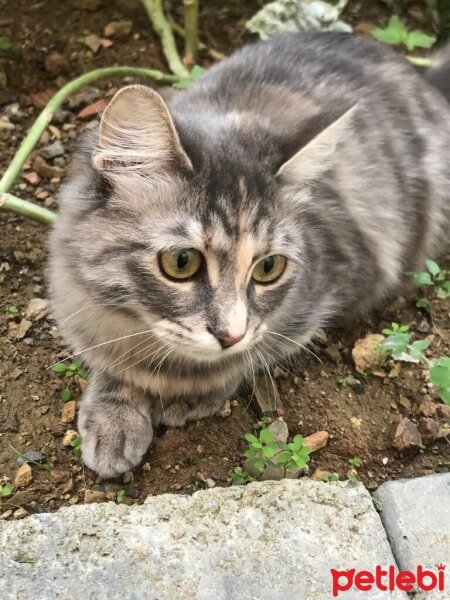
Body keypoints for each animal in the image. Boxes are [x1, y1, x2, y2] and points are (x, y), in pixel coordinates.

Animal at [49, 32, 450, 478]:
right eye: (182, 262)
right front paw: (115, 415)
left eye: (268, 268)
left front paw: (191, 393)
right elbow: (113, 363)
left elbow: (249, 356)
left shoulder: (330, 292)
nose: (230, 335)